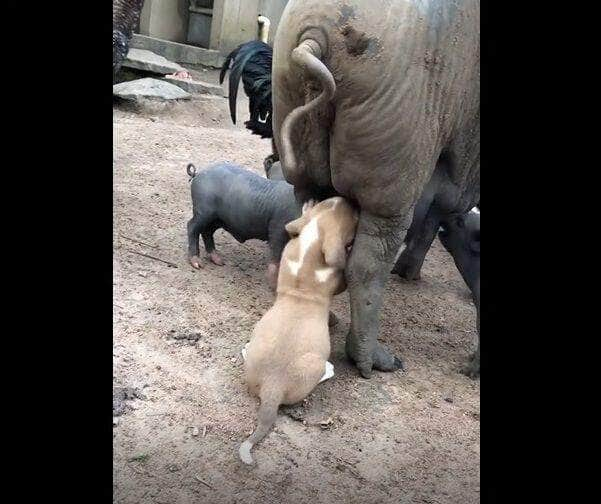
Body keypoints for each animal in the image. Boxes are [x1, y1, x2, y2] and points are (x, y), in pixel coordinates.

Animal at [238, 195, 356, 462]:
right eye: (353, 218)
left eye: (327, 201)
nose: (347, 198)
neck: (311, 240)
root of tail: (272, 387)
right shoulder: (338, 280)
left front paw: (305, 209)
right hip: (313, 365)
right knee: (322, 374)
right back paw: (329, 369)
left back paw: (245, 349)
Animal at [272, 0, 478, 378]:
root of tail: (315, 32)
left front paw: (409, 274)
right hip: (394, 152)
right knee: (368, 263)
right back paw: (376, 362)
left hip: (289, 99)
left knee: (302, 227)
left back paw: (330, 318)